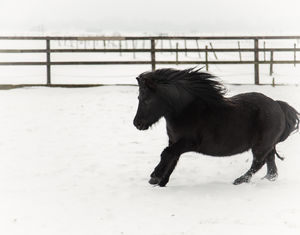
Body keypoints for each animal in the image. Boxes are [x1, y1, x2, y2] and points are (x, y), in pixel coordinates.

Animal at [134, 67, 300, 186]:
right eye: (139, 97)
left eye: (146, 99)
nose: (137, 123)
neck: (186, 110)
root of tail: (278, 105)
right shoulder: (174, 141)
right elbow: (171, 158)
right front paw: (161, 181)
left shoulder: (189, 143)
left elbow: (167, 154)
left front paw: (155, 177)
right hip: (266, 145)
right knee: (270, 160)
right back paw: (269, 178)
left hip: (261, 146)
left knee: (258, 163)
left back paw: (240, 181)